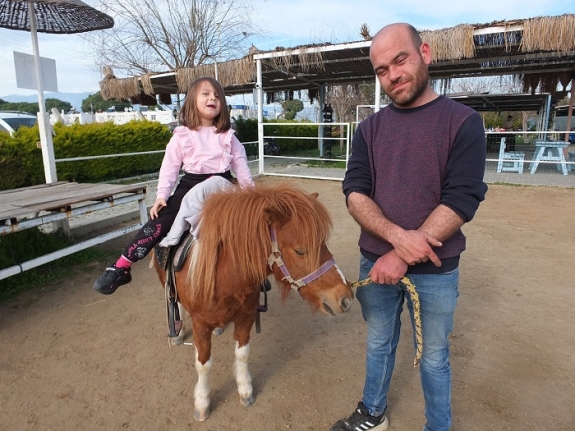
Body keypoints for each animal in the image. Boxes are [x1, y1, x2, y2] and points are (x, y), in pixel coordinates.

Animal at [151, 183, 354, 422]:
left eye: (322, 243)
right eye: (300, 250)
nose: (345, 297)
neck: (225, 275)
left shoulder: (246, 316)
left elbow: (243, 353)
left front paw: (245, 390)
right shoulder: (200, 324)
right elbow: (203, 364)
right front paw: (202, 403)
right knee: (177, 304)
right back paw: (178, 331)